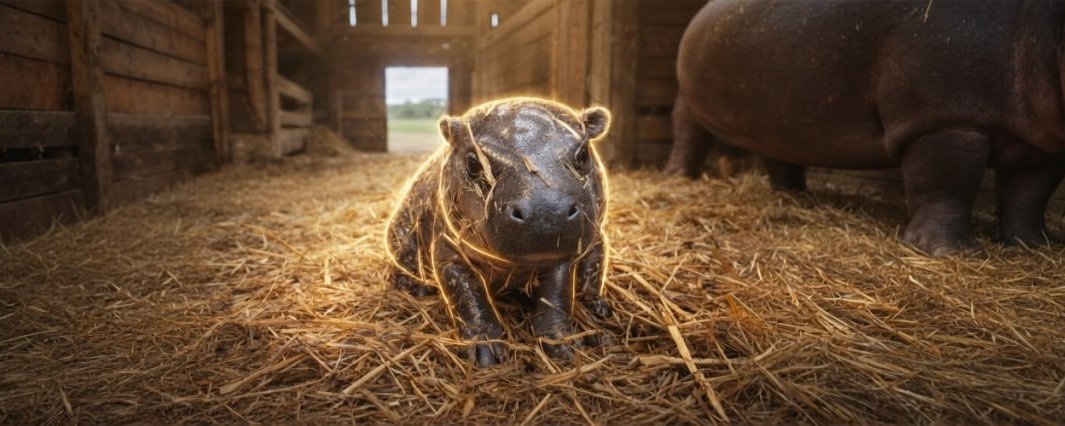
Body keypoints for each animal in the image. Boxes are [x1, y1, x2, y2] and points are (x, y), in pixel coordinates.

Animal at [385, 98, 612, 367]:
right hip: (400, 234)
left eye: (583, 154)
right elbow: (466, 292)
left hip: (596, 239)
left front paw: (564, 346)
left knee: (593, 264)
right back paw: (415, 289)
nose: (545, 211)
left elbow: (555, 295)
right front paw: (487, 354)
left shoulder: (561, 255)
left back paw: (597, 310)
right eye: (473, 162)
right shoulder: (448, 252)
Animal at [675, 0, 1065, 255]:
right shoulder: (943, 121)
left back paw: (794, 196)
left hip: (775, 118)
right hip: (689, 96)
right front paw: (951, 254)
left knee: (777, 154)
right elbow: (946, 184)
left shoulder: (1041, 144)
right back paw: (678, 179)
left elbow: (1028, 195)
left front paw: (1035, 247)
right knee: (687, 132)